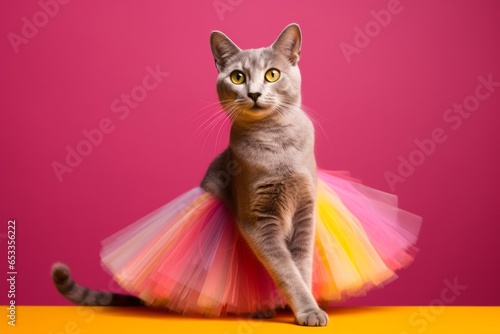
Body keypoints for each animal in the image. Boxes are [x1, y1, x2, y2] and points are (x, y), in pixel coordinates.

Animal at [52, 24, 330, 326]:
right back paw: (259, 309)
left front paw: (308, 308)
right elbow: (285, 270)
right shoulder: (258, 220)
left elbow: (301, 265)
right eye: (238, 77)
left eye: (272, 74)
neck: (277, 143)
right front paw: (305, 309)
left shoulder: (305, 209)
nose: (254, 93)